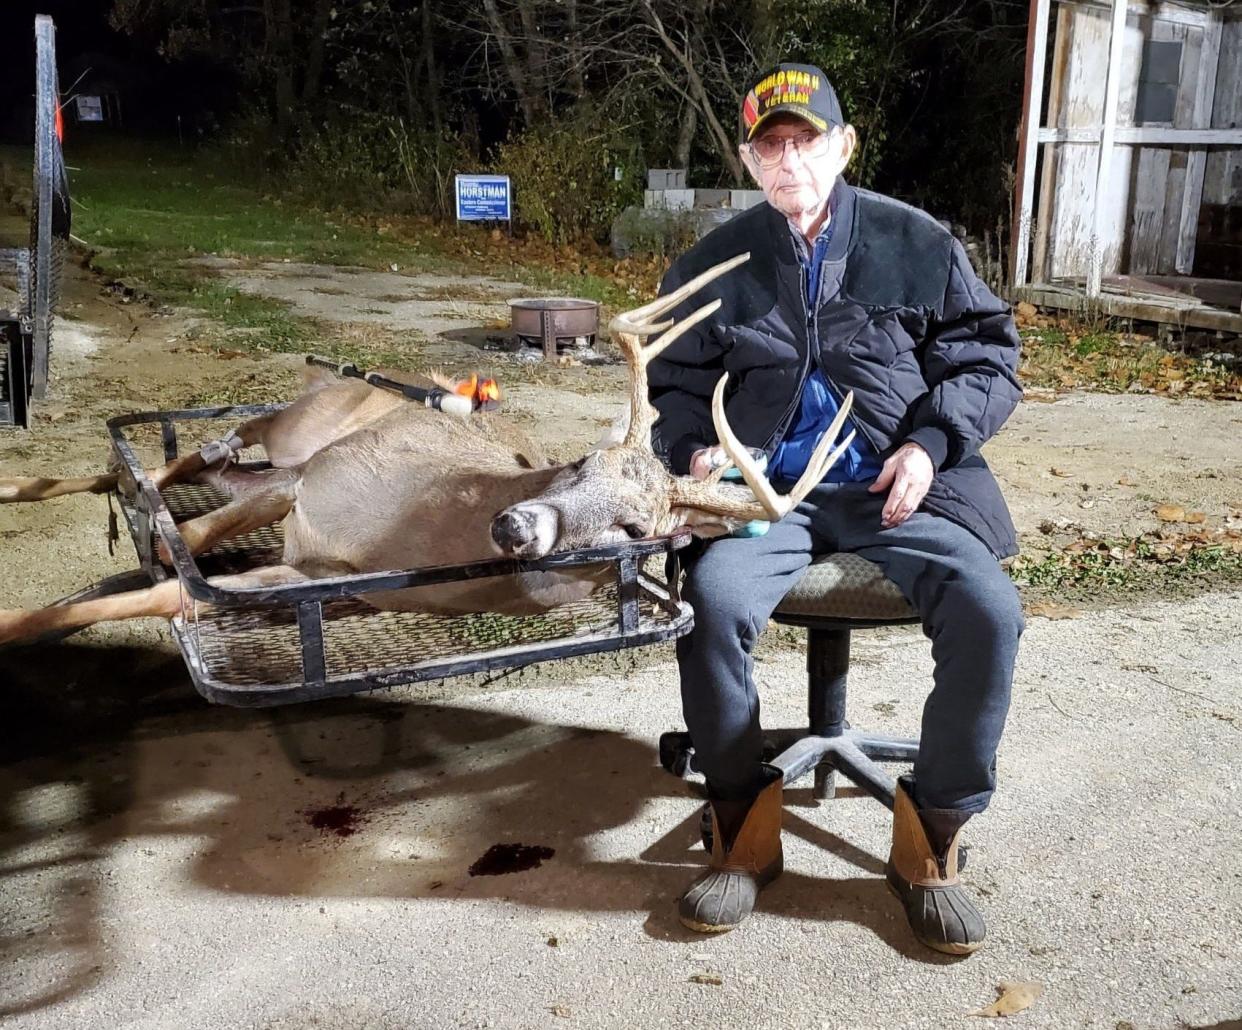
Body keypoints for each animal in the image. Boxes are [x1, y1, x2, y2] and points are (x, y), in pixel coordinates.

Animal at [0, 250, 854, 641]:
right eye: (582, 460)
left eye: (636, 529)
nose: (517, 525)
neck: (413, 527)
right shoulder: (312, 480)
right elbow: (183, 540)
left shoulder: (319, 577)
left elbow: (163, 590)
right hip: (301, 425)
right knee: (190, 458)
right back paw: (28, 485)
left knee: (176, 474)